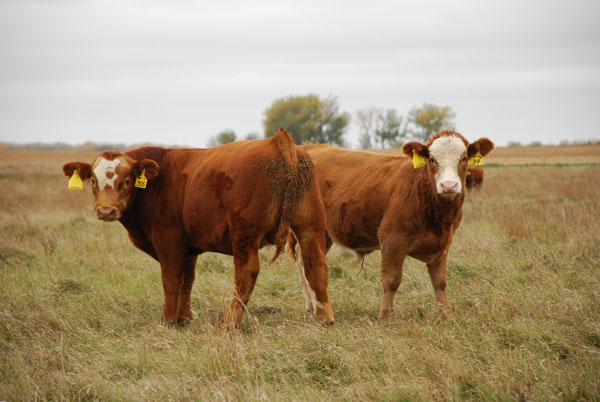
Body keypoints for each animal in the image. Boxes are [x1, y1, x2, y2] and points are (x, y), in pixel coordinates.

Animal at [63, 130, 336, 328]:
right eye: (93, 180)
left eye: (127, 180)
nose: (106, 211)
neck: (156, 182)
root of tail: (277, 141)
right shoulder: (188, 247)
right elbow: (188, 281)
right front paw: (184, 317)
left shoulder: (169, 240)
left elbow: (171, 280)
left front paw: (169, 320)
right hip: (310, 226)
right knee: (316, 265)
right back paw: (325, 317)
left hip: (244, 236)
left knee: (246, 273)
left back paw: (230, 322)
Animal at [290, 130, 492, 318]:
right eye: (432, 159)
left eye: (464, 158)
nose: (448, 186)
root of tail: (309, 147)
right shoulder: (392, 238)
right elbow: (391, 280)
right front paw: (386, 315)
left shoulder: (443, 244)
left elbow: (439, 281)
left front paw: (446, 313)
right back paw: (316, 308)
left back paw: (313, 308)